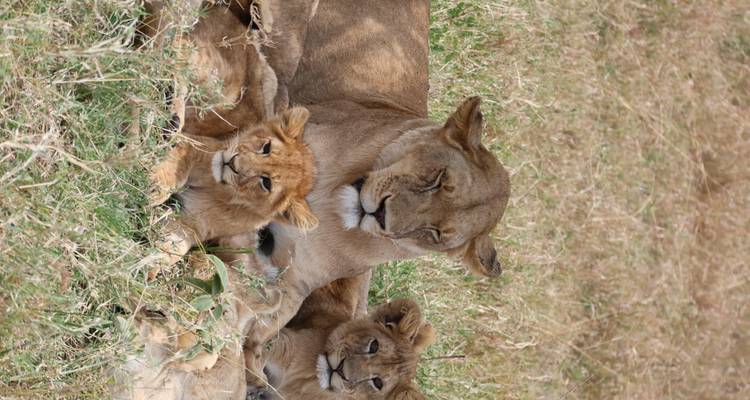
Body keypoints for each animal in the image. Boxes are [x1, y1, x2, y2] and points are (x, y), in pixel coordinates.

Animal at [147, 106, 317, 273]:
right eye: (266, 147)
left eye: (267, 183)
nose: (232, 163)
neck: (216, 189)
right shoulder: (199, 146)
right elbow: (183, 157)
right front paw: (157, 185)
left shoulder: (194, 223)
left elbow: (173, 244)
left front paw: (151, 264)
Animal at [252, 298, 435, 400]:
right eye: (374, 346)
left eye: (378, 383)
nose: (340, 369)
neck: (309, 380)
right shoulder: (289, 343)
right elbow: (270, 342)